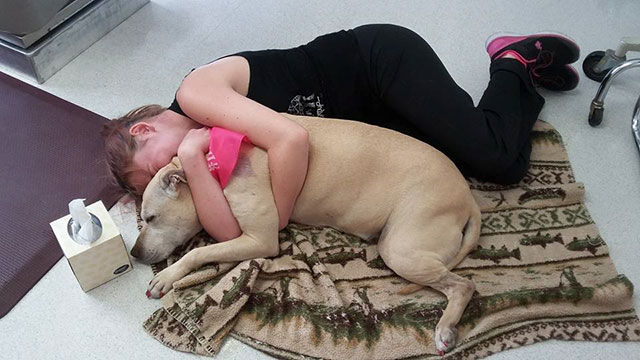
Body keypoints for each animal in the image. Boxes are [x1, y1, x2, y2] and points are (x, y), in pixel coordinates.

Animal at [131, 114, 480, 352]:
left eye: (150, 216)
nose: (134, 253)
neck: (209, 166)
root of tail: (469, 198)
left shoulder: (259, 240)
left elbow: (198, 251)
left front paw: (168, 276)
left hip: (401, 250)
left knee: (464, 285)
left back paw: (446, 328)